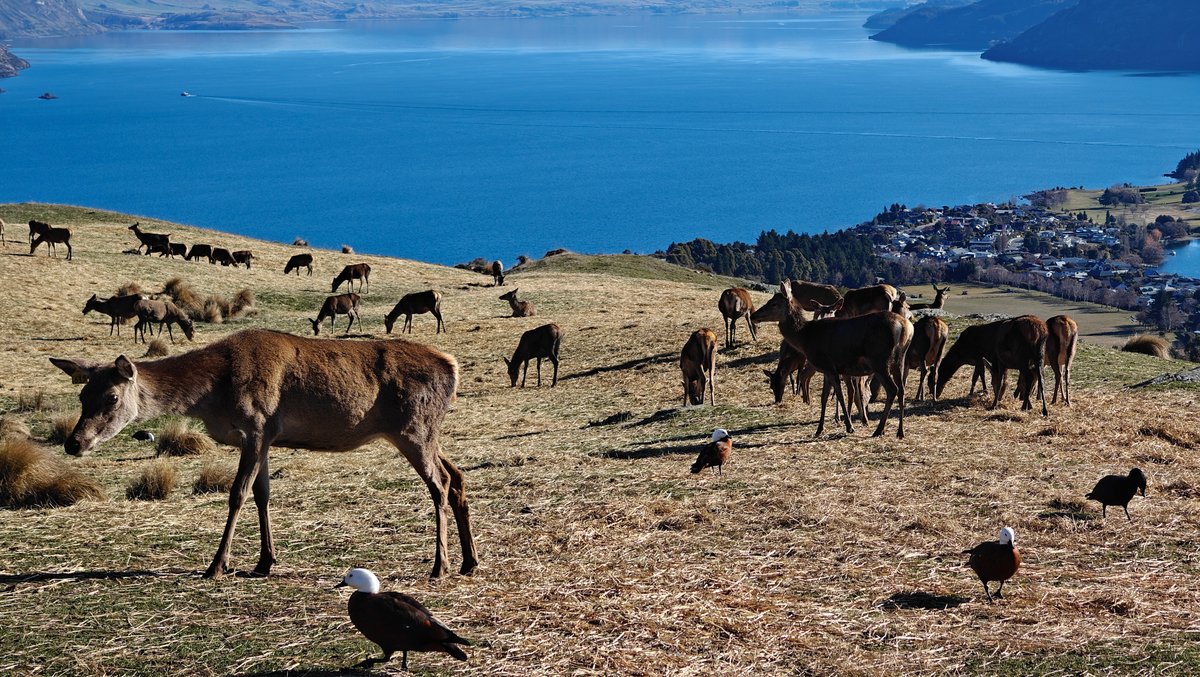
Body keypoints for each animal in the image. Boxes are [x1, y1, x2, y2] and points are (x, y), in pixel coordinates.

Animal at [49, 328, 477, 580]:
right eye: (82, 395)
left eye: (111, 397)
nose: (74, 443)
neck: (214, 395)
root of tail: (454, 369)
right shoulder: (266, 438)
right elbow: (262, 494)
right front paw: (264, 561)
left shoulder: (256, 425)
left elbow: (237, 494)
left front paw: (217, 565)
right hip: (423, 433)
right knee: (457, 476)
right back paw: (470, 562)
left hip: (413, 429)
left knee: (439, 483)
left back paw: (440, 565)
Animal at [757, 281, 912, 438]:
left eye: (774, 303)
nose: (754, 315)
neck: (804, 338)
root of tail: (905, 327)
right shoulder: (827, 369)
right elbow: (824, 397)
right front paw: (819, 429)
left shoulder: (829, 365)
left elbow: (840, 395)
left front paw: (849, 426)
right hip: (899, 360)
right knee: (902, 390)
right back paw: (900, 431)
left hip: (880, 361)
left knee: (892, 389)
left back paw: (879, 430)